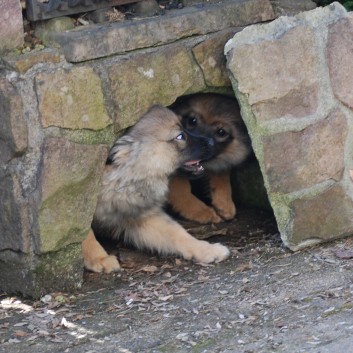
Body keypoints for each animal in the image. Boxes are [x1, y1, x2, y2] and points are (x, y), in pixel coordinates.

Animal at [81, 104, 230, 272]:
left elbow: (177, 233)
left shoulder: (142, 216)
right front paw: (100, 258)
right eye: (180, 136)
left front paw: (207, 249)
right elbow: (85, 236)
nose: (212, 142)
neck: (123, 177)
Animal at [167, 93, 250, 223]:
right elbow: (182, 191)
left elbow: (222, 177)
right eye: (192, 120)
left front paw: (224, 203)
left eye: (221, 132)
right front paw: (203, 212)